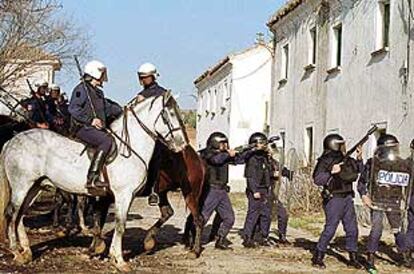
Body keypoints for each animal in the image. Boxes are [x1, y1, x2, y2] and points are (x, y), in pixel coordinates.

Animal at [0, 91, 188, 270]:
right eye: (170, 113)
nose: (183, 145)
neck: (129, 148)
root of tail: (12, 141)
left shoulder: (118, 197)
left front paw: (107, 253)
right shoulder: (123, 195)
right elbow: (120, 225)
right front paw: (119, 260)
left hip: (34, 187)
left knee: (20, 215)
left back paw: (26, 252)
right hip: (21, 186)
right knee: (12, 214)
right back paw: (16, 252)